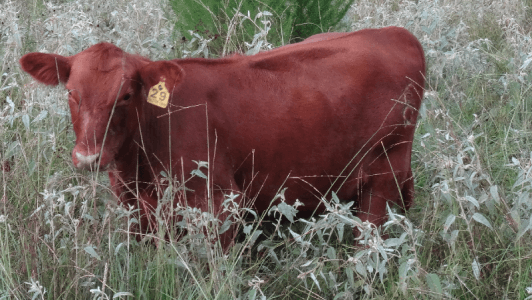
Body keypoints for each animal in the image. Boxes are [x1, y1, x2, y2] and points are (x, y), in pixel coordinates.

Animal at [20, 25, 426, 246]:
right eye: (71, 93)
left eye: (125, 95)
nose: (89, 157)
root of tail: (394, 33)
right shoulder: (135, 208)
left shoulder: (220, 202)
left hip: (384, 175)